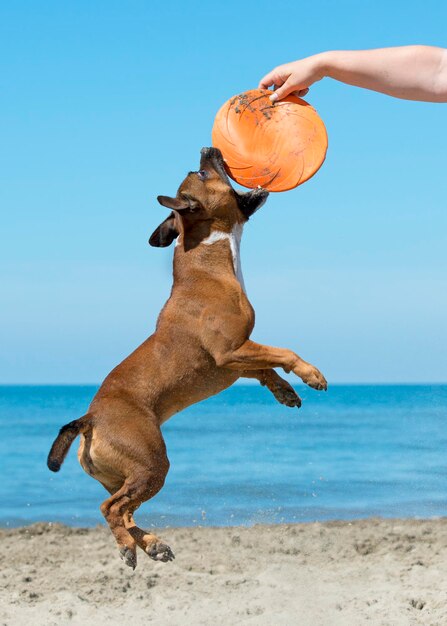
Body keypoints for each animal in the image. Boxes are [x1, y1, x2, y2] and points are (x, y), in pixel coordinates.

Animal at [47, 145, 328, 564]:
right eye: (203, 172)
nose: (207, 148)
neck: (208, 258)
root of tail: (89, 419)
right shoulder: (231, 353)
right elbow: (282, 352)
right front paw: (310, 375)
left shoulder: (237, 360)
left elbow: (266, 369)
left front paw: (286, 391)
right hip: (151, 464)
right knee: (112, 509)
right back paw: (129, 547)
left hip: (125, 475)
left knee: (125, 510)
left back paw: (151, 544)